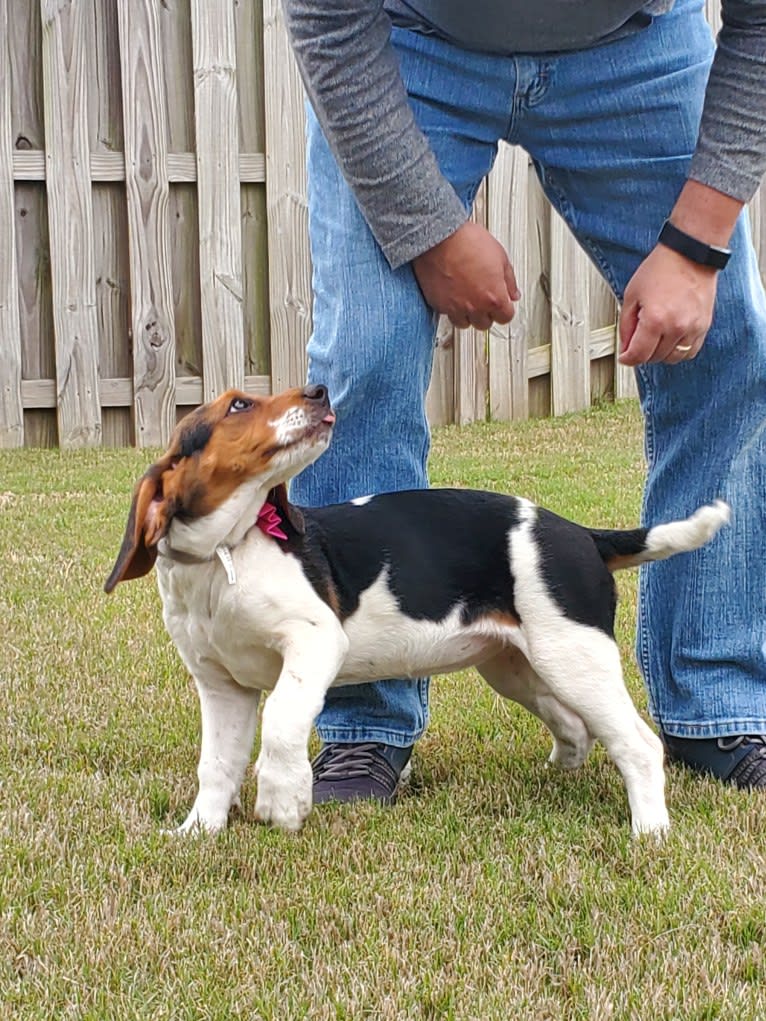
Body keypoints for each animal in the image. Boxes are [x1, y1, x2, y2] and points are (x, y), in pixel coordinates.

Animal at [105, 383, 727, 837]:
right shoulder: (221, 686)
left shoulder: (314, 641)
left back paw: (650, 832)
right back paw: (560, 774)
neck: (224, 556)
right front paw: (197, 833)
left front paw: (284, 800)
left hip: (574, 657)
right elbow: (216, 764)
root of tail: (583, 534)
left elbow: (282, 720)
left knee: (640, 745)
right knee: (576, 726)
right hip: (517, 667)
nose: (319, 391)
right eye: (238, 405)